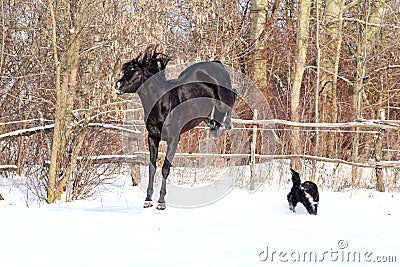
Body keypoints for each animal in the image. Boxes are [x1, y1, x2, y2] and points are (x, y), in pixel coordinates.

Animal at [115, 48, 234, 211]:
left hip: (224, 98)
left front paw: (161, 202)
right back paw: (212, 125)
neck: (162, 104)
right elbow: (152, 167)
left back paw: (225, 124)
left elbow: (165, 168)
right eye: (126, 71)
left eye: (137, 73)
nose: (117, 86)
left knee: (232, 98)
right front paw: (148, 200)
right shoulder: (153, 138)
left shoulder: (173, 139)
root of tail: (217, 64)